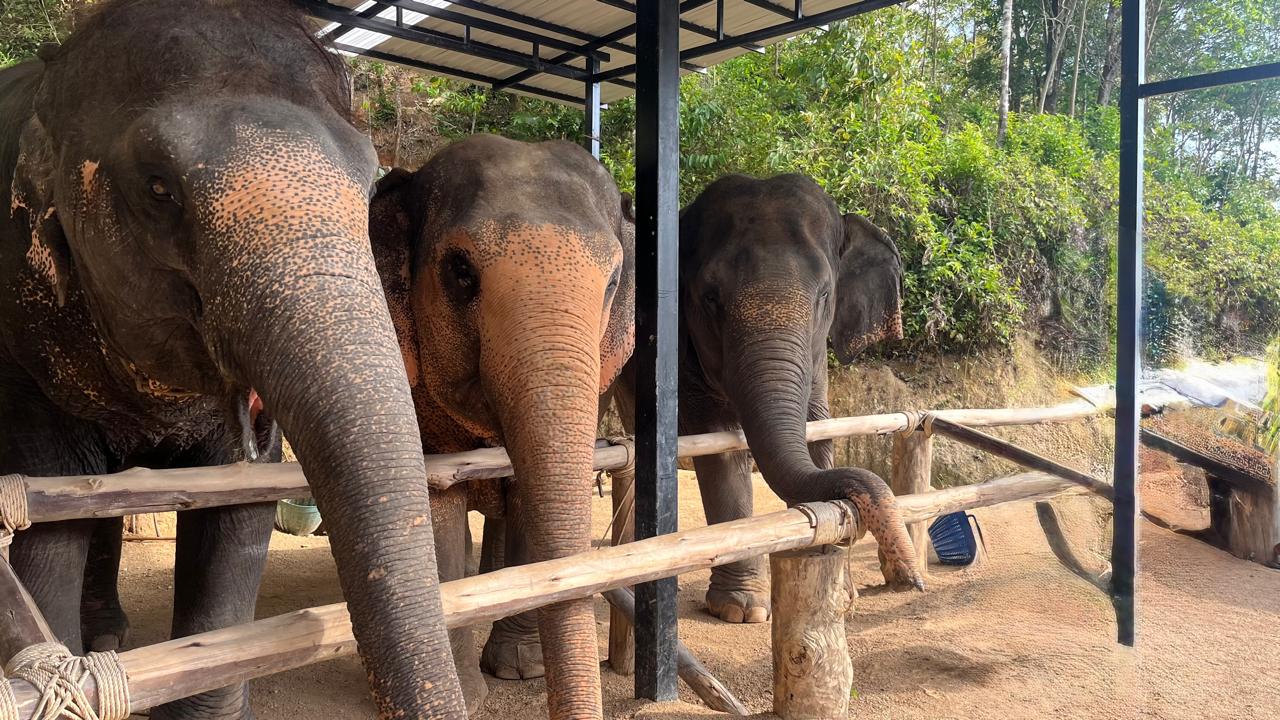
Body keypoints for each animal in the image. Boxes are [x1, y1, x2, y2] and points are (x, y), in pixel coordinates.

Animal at [0, 2, 466, 718]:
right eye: (158, 188)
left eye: (368, 186)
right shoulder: (23, 345)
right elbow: (48, 521)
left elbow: (238, 512)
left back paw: (107, 632)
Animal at [369, 134, 635, 719]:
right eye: (460, 270)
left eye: (612, 282)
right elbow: (436, 506)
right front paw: (467, 696)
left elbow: (527, 501)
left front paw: (520, 670)